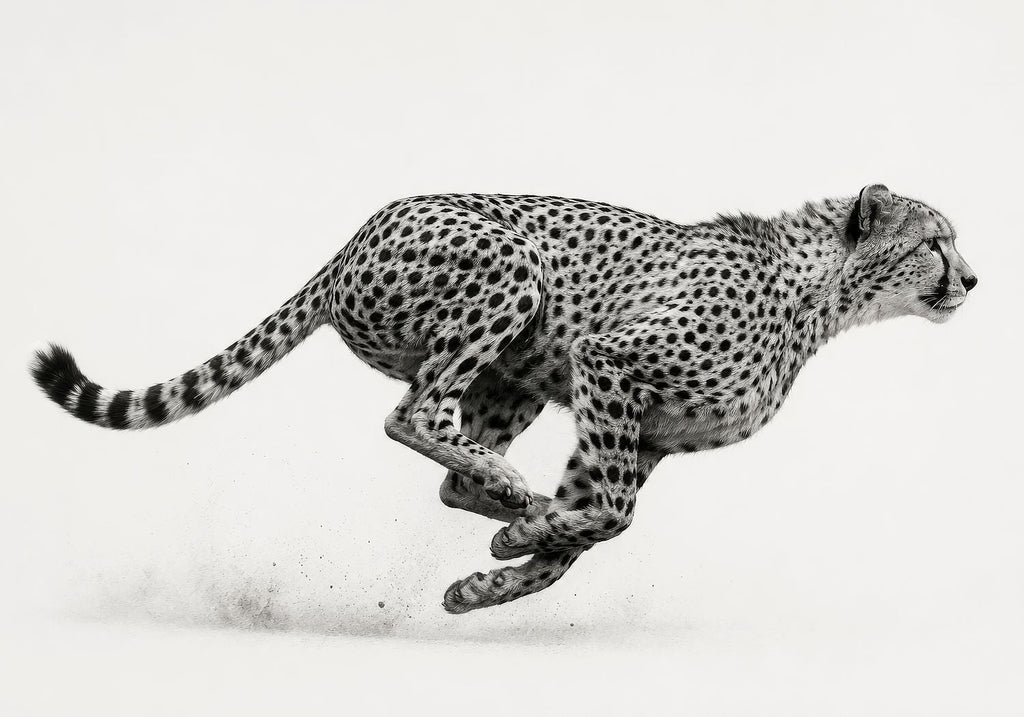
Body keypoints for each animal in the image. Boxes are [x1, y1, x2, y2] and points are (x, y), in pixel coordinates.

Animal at [30, 184, 977, 613]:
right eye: (935, 241)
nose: (972, 278)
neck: (820, 294)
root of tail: (354, 238)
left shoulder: (649, 435)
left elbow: (596, 526)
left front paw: (487, 579)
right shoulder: (610, 361)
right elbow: (608, 515)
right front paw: (519, 539)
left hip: (517, 375)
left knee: (450, 466)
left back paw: (503, 493)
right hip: (512, 277)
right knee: (412, 414)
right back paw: (511, 490)